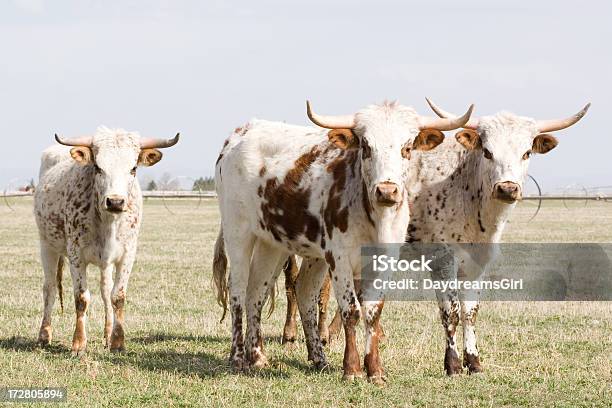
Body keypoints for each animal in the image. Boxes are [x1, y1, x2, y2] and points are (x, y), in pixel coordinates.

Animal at [33, 126, 178, 354]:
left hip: (105, 262)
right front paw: (78, 343)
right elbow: (81, 298)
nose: (116, 201)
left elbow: (116, 296)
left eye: (133, 168)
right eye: (98, 167)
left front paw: (117, 341)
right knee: (49, 289)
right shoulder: (76, 255)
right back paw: (44, 335)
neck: (108, 222)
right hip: (47, 246)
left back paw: (107, 334)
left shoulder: (127, 255)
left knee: (104, 290)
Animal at [213, 99, 476, 382]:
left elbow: (373, 311)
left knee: (260, 292)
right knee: (238, 289)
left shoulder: (384, 261)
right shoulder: (338, 258)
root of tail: (239, 134)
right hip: (238, 231)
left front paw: (375, 370)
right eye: (366, 146)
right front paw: (352, 368)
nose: (387, 191)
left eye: (407, 148)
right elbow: (351, 310)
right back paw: (238, 357)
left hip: (272, 243)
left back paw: (266, 357)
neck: (374, 217)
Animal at [404, 99, 592, 376]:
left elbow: (470, 312)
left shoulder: (477, 262)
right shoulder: (442, 261)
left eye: (527, 153)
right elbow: (451, 313)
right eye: (488, 152)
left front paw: (474, 363)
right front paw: (453, 365)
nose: (507, 188)